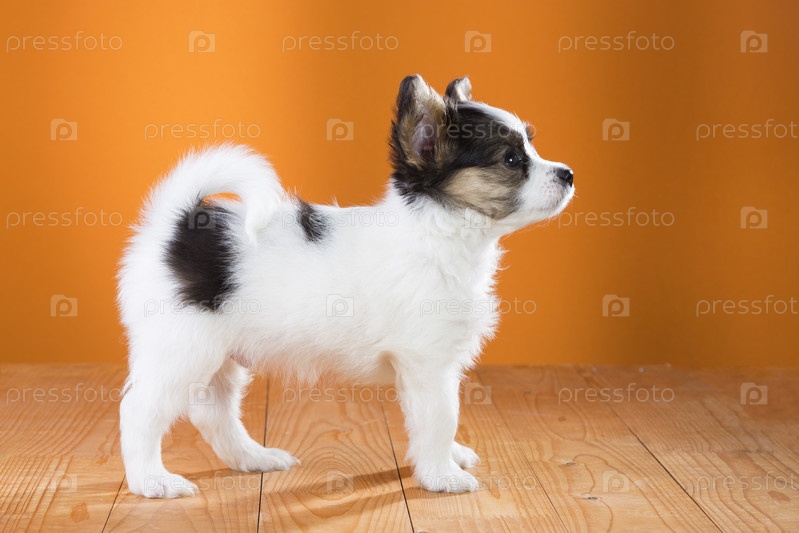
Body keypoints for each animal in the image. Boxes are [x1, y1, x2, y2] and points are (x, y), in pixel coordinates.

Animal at [117, 74, 574, 498]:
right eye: (512, 159)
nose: (569, 173)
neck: (439, 232)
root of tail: (173, 225)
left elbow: (431, 420)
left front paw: (448, 458)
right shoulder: (428, 362)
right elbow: (442, 416)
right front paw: (443, 476)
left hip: (217, 355)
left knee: (213, 413)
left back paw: (254, 458)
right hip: (182, 349)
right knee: (138, 412)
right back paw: (152, 481)